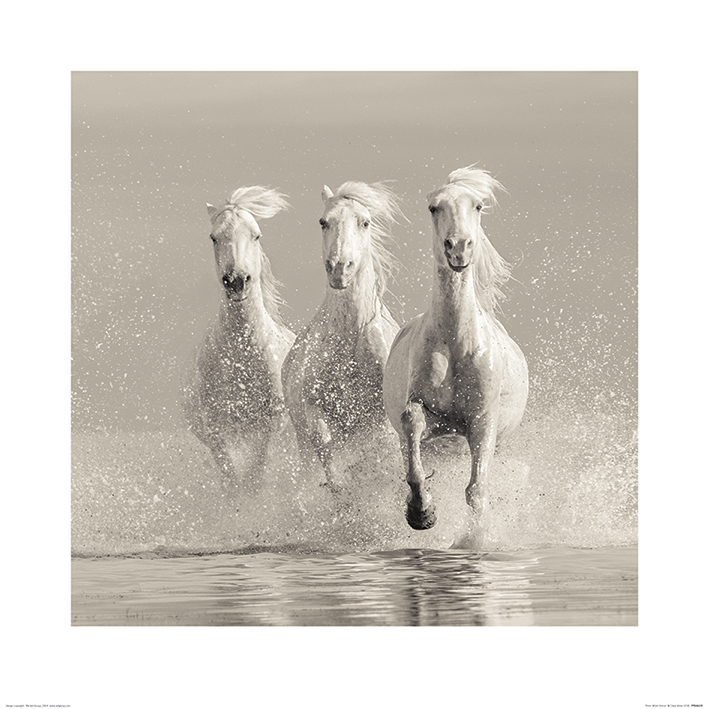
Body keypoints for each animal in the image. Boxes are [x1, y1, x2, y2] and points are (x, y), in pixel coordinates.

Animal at [182, 186, 296, 492]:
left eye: (256, 235)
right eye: (214, 237)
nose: (236, 281)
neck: (241, 356)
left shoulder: (272, 423)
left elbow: (257, 473)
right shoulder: (215, 426)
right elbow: (231, 479)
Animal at [282, 181, 405, 491]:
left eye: (365, 222)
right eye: (323, 222)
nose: (339, 268)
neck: (350, 338)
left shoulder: (381, 418)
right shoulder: (314, 409)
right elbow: (323, 441)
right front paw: (338, 487)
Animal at [382, 167, 528, 530]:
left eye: (478, 206)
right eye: (434, 207)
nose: (459, 248)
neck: (454, 343)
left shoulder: (482, 422)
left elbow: (476, 489)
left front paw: (473, 538)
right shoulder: (427, 415)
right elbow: (412, 431)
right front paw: (422, 513)